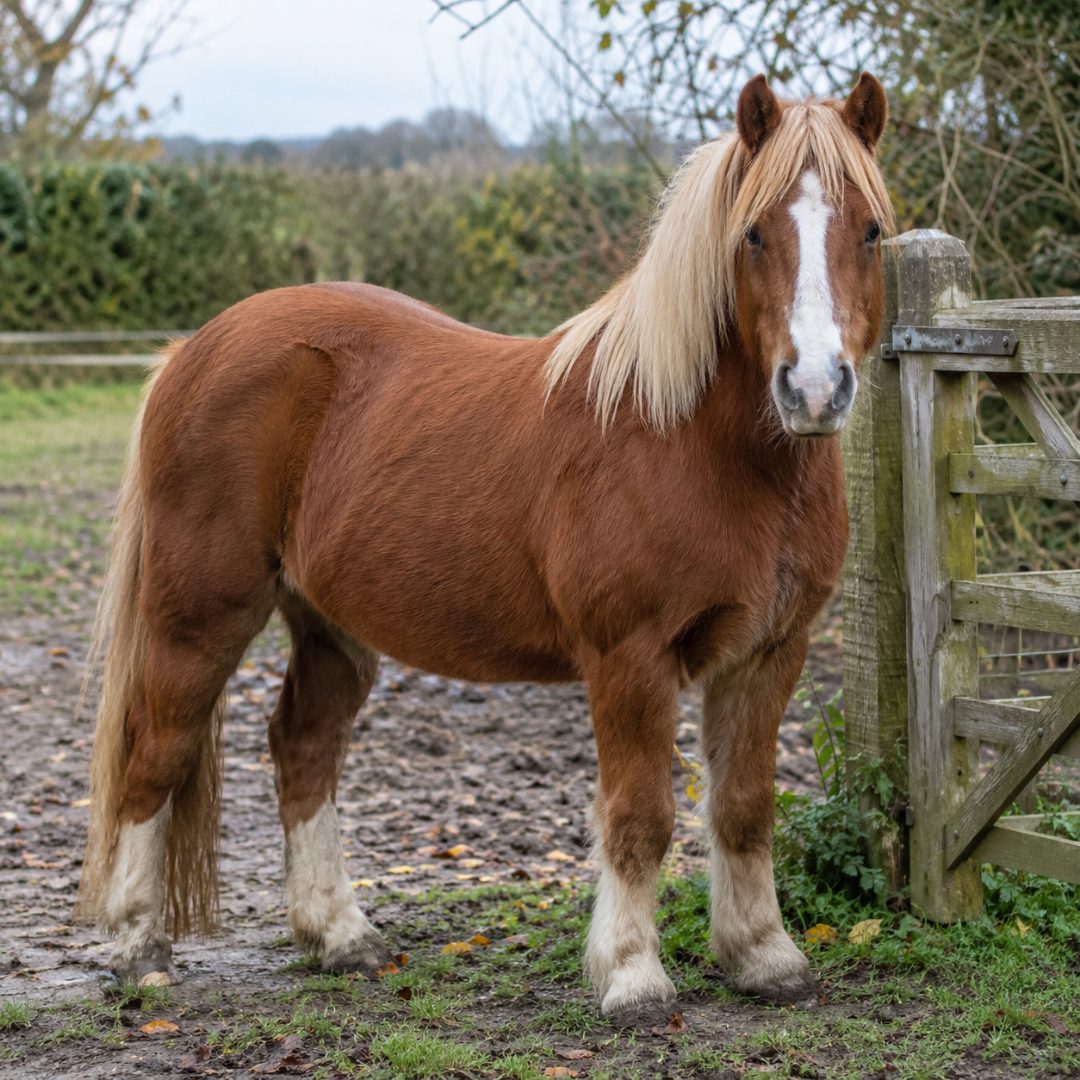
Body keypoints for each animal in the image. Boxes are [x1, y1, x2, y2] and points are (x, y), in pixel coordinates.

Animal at [77, 72, 892, 1017]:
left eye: (870, 230)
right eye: (755, 232)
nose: (814, 390)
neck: (694, 443)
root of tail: (189, 351)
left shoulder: (769, 652)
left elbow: (746, 807)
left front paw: (764, 956)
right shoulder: (630, 657)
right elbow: (640, 816)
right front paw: (633, 975)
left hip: (327, 626)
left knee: (303, 747)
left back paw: (339, 936)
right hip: (200, 616)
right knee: (155, 754)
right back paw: (138, 946)